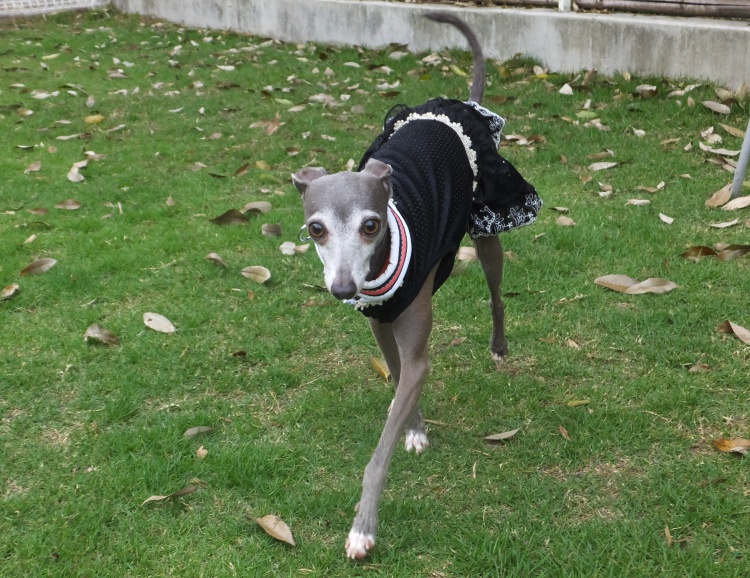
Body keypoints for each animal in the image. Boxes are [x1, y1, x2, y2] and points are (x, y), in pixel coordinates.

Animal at [292, 12, 541, 559]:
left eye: (370, 225)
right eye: (316, 229)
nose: (342, 289)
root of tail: (451, 108)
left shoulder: (416, 344)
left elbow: (378, 454)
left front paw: (363, 528)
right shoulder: (382, 327)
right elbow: (397, 378)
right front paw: (415, 428)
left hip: (488, 234)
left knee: (496, 294)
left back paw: (499, 346)